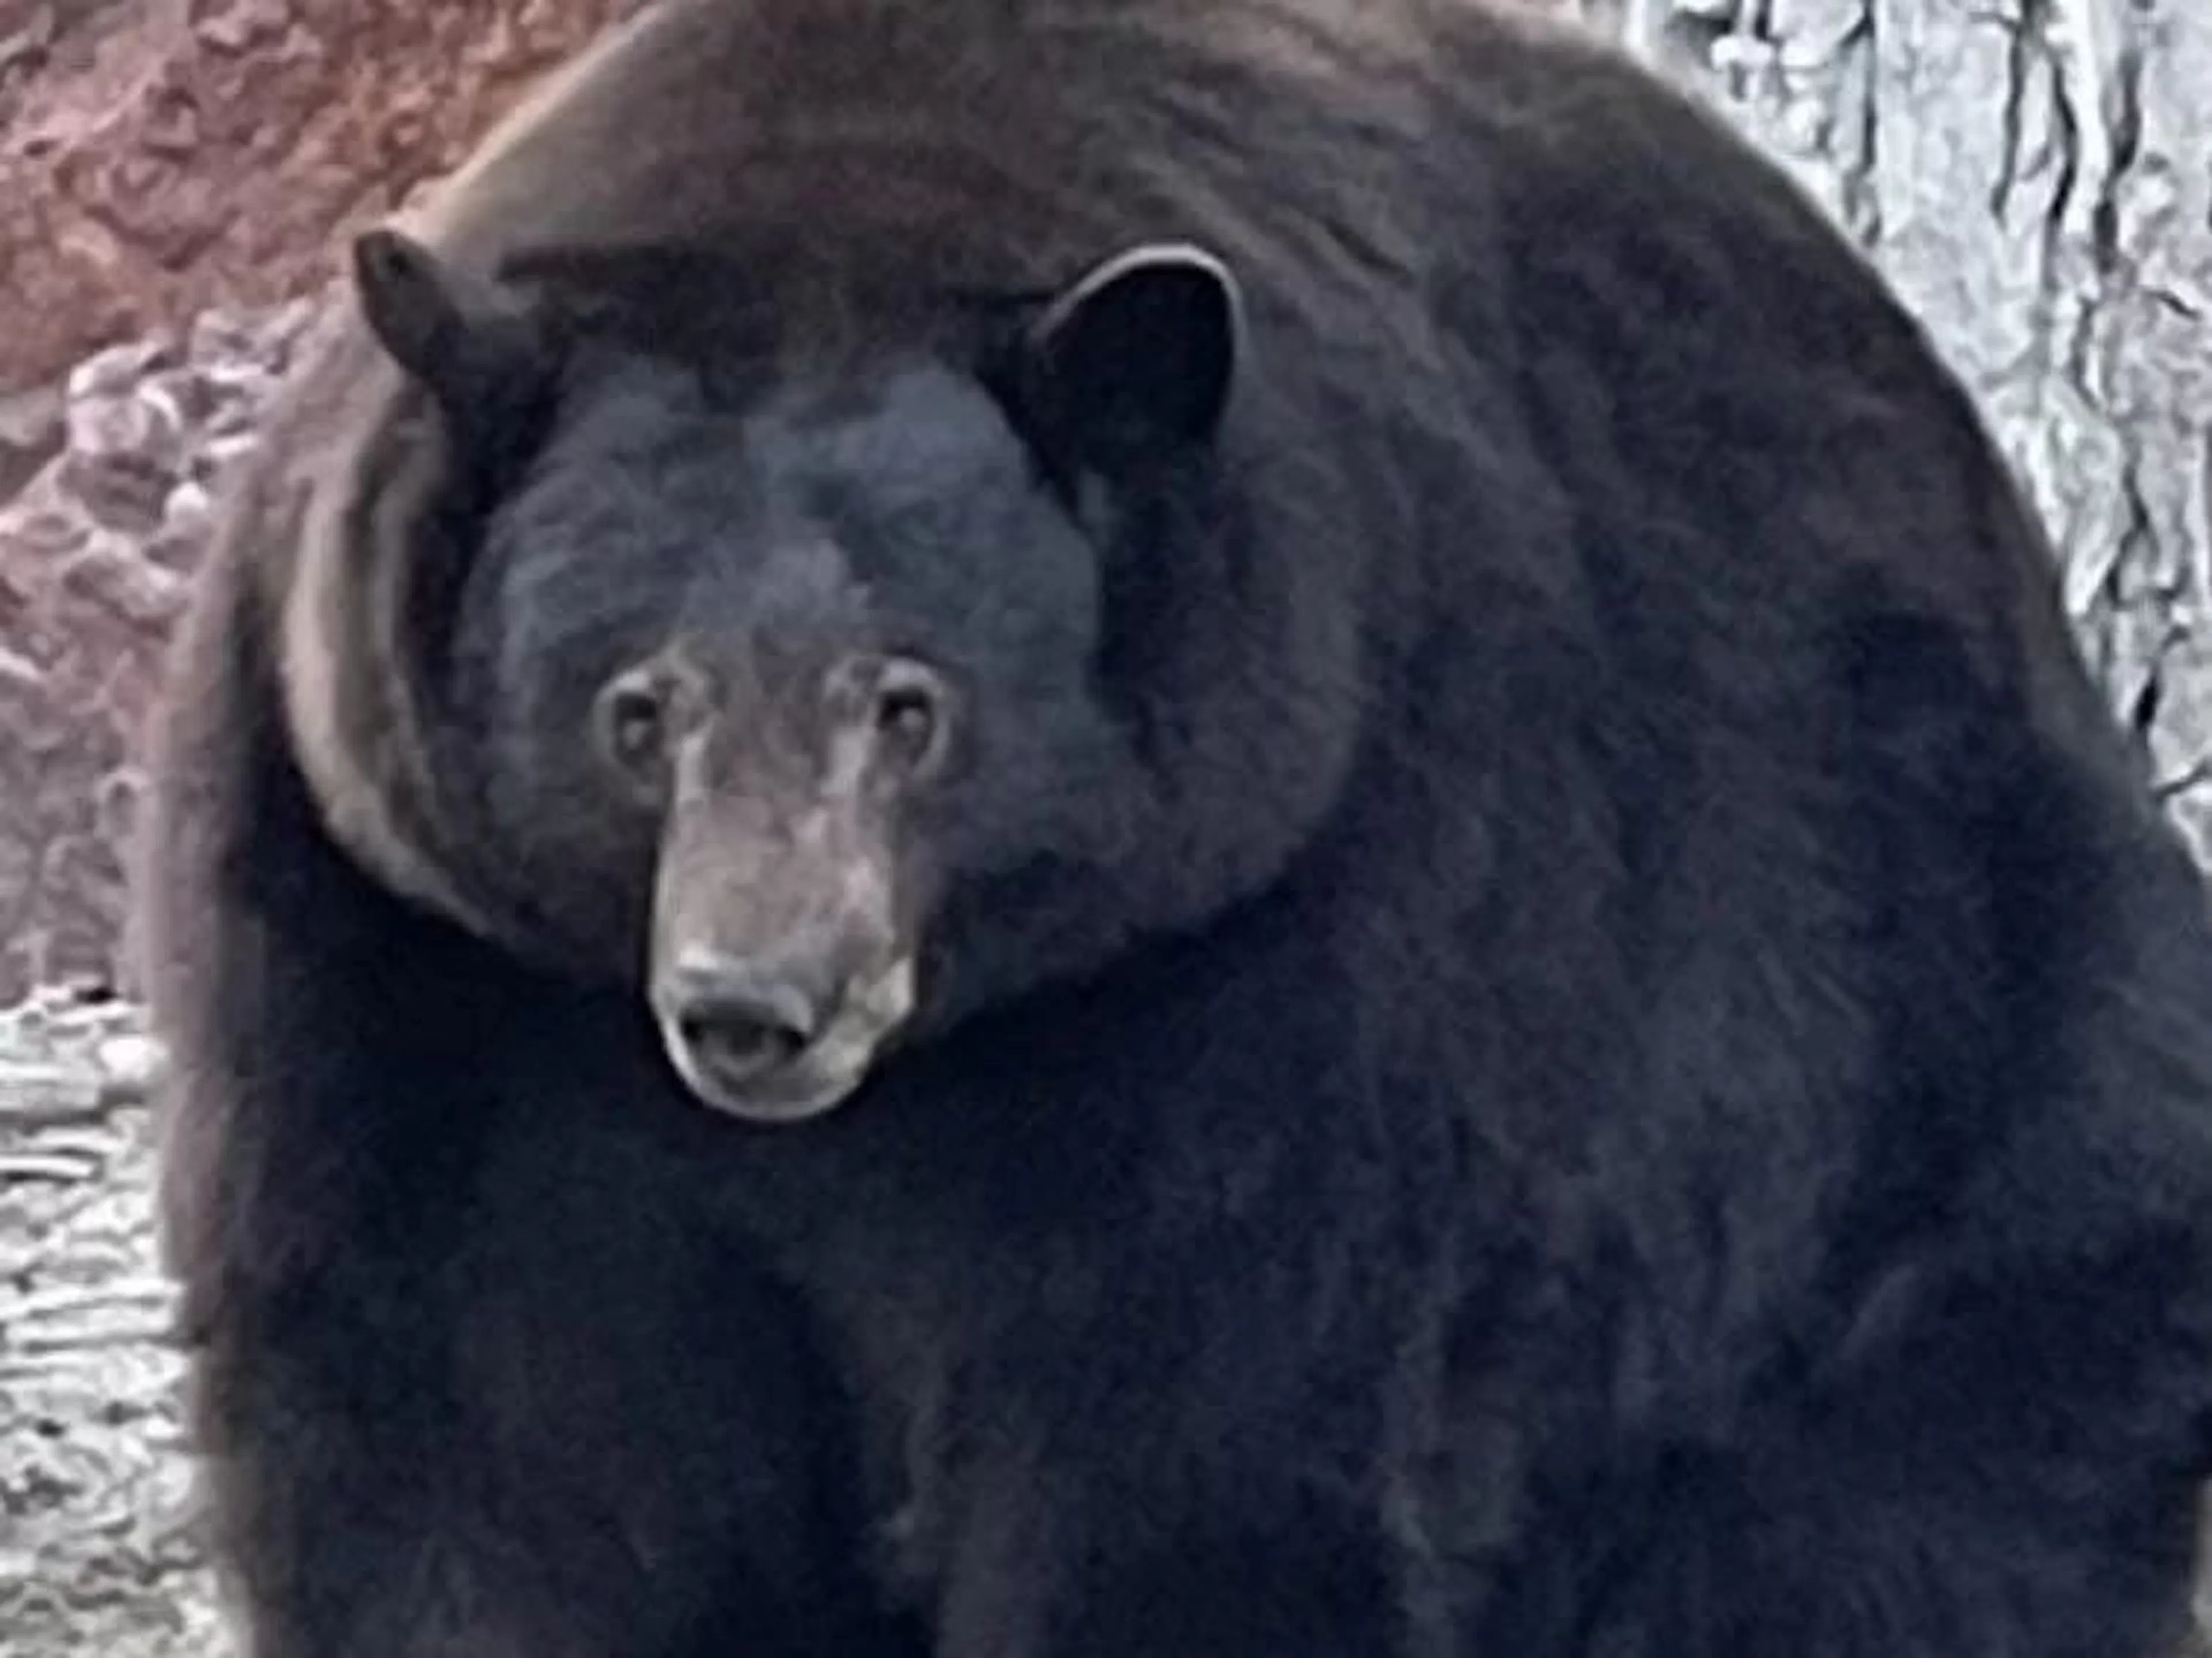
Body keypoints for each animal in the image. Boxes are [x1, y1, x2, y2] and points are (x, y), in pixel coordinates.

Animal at [134, 0, 2212, 1655]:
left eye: (913, 701)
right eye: (637, 707)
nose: (757, 1004)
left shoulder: (1322, 887)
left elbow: (1215, 1418)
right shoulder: (412, 943)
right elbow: (477, 1422)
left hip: (1935, 1123)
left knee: (1896, 1514)